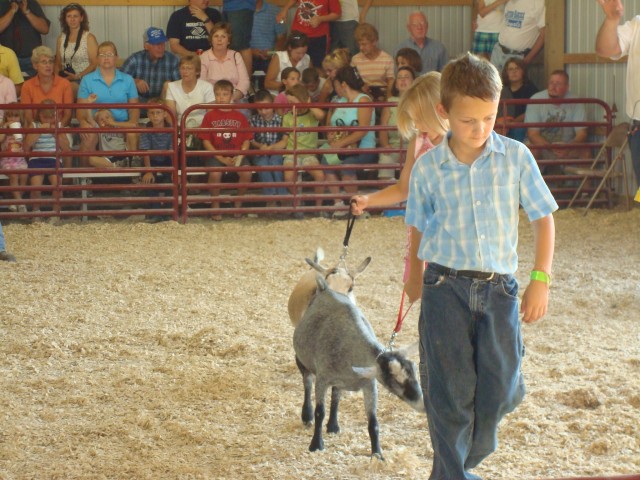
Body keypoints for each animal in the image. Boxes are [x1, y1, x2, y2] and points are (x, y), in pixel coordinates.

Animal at [293, 275, 424, 459]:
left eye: (414, 371)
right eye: (394, 381)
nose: (422, 404)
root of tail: (324, 288)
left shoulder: (369, 385)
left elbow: (373, 422)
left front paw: (377, 455)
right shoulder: (323, 379)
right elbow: (320, 412)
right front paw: (316, 445)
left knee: (336, 394)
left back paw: (333, 426)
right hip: (303, 360)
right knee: (307, 383)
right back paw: (307, 415)